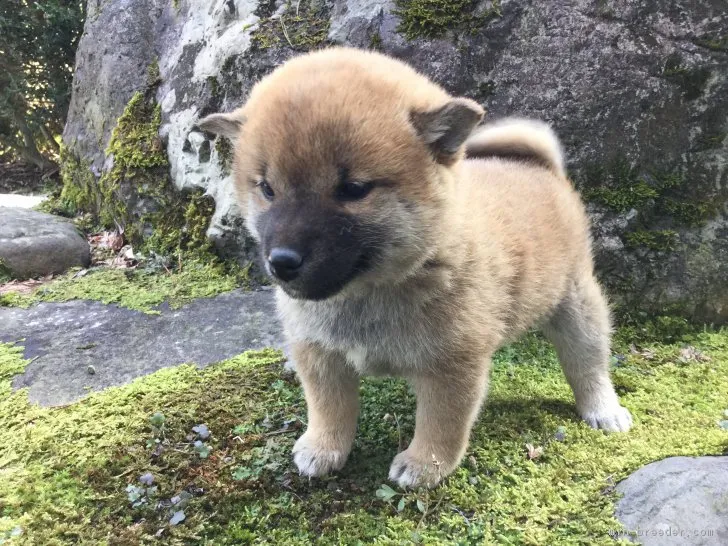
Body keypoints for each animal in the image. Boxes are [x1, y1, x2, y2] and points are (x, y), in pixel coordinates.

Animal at [199, 46, 632, 486]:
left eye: (353, 189)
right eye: (267, 189)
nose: (282, 262)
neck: (372, 292)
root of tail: (540, 168)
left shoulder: (453, 366)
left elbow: (442, 424)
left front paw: (425, 464)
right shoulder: (320, 354)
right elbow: (329, 409)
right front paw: (323, 448)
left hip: (577, 304)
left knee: (588, 363)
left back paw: (603, 409)